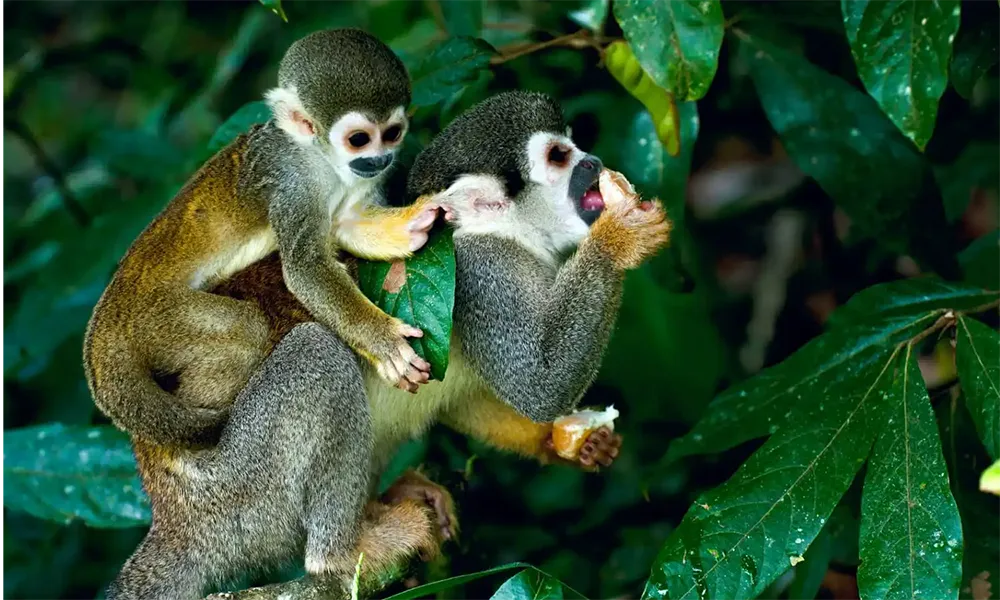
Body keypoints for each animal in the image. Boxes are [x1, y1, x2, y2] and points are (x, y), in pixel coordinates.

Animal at [83, 28, 442, 452]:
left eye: (392, 134)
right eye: (359, 139)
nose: (379, 160)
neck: (320, 158)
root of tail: (107, 319)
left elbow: (345, 224)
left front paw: (414, 222)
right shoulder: (292, 183)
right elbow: (305, 269)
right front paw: (383, 340)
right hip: (156, 319)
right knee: (245, 329)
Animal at [105, 90, 670, 599]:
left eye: (573, 145)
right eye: (558, 156)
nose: (593, 162)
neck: (509, 233)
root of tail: (175, 516)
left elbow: (468, 398)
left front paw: (564, 441)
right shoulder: (484, 272)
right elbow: (537, 383)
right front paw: (619, 236)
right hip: (241, 494)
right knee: (316, 355)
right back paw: (341, 552)